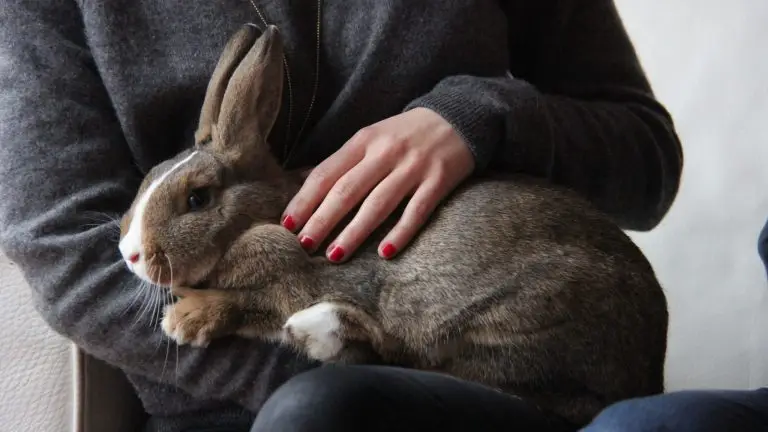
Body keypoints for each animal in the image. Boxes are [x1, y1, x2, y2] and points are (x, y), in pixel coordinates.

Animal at [117, 25, 668, 426]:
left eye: (197, 198)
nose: (129, 254)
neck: (263, 217)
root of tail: (650, 370)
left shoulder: (298, 275)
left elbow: (250, 303)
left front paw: (184, 321)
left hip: (520, 320)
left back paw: (319, 329)